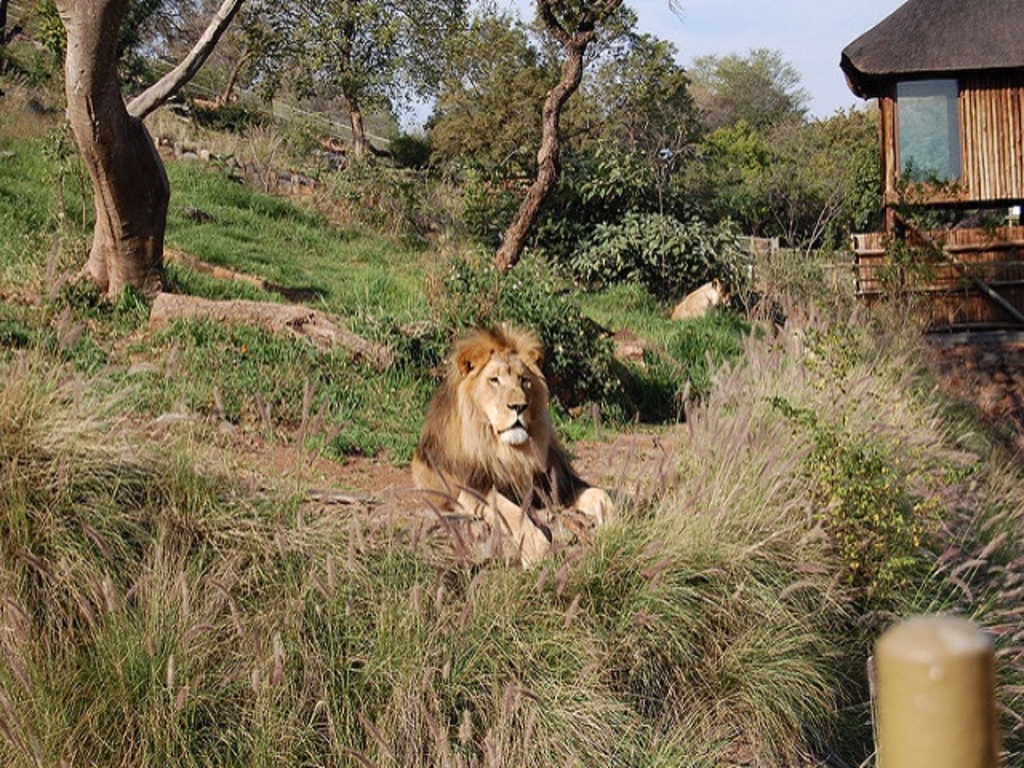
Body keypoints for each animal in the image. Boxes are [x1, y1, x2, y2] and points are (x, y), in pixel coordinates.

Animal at [412, 324, 613, 566]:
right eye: (494, 380)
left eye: (524, 380)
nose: (519, 406)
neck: (510, 451)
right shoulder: (473, 491)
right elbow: (511, 511)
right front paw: (537, 548)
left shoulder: (555, 484)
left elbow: (601, 494)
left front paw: (616, 525)